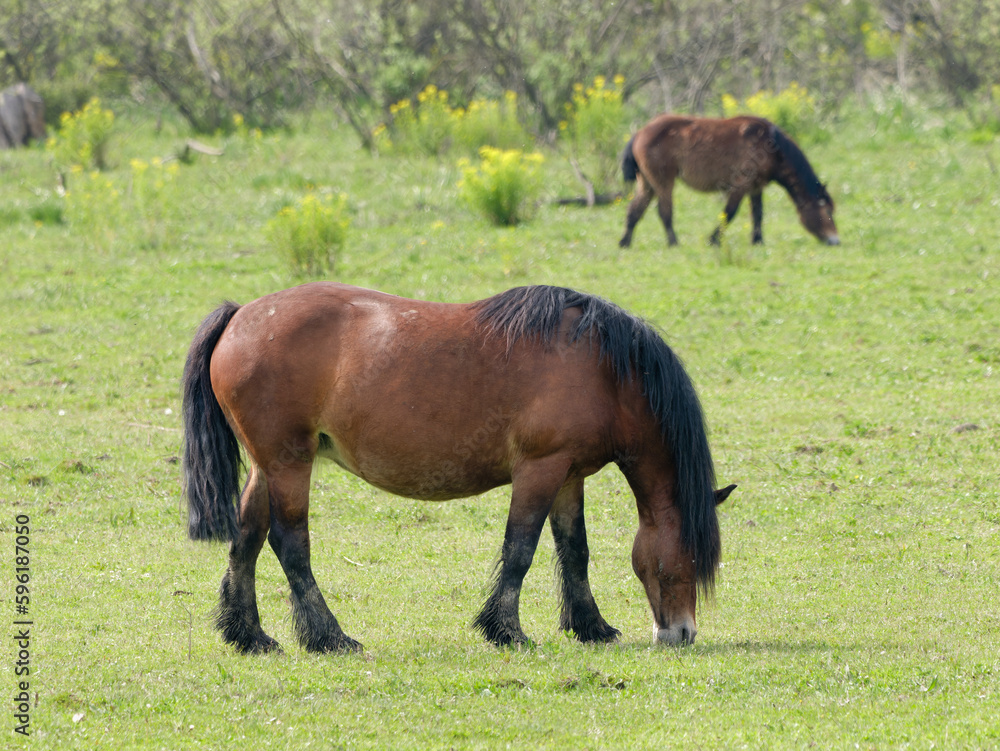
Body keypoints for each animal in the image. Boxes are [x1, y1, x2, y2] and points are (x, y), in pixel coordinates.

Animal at [616, 114, 836, 248]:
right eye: (827, 212)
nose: (836, 240)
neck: (771, 145)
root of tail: (639, 133)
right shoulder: (740, 185)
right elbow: (729, 213)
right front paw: (714, 240)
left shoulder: (756, 188)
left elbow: (758, 215)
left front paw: (758, 241)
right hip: (663, 183)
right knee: (664, 212)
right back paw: (673, 242)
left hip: (647, 184)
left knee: (634, 210)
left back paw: (625, 242)